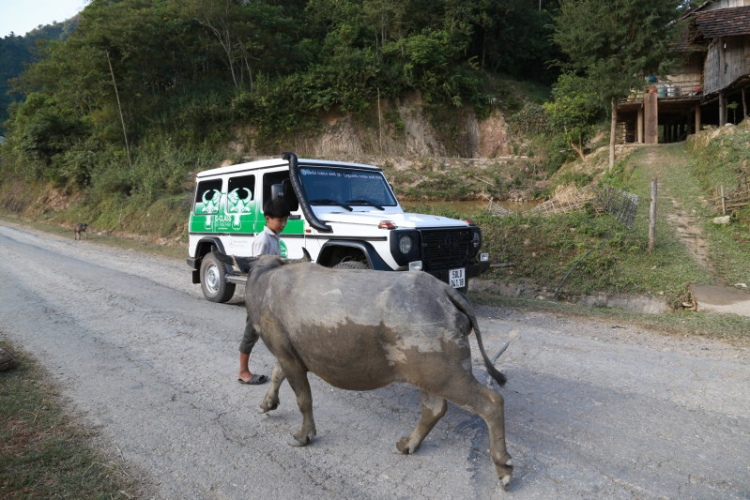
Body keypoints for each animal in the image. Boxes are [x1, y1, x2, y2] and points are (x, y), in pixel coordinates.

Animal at [214, 249, 516, 488]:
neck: (267, 282)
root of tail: (444, 290)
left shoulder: (289, 357)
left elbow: (303, 399)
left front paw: (304, 435)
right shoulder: (287, 353)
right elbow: (277, 375)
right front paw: (268, 403)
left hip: (445, 374)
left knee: (492, 402)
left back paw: (503, 468)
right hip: (430, 374)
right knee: (434, 408)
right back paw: (408, 444)